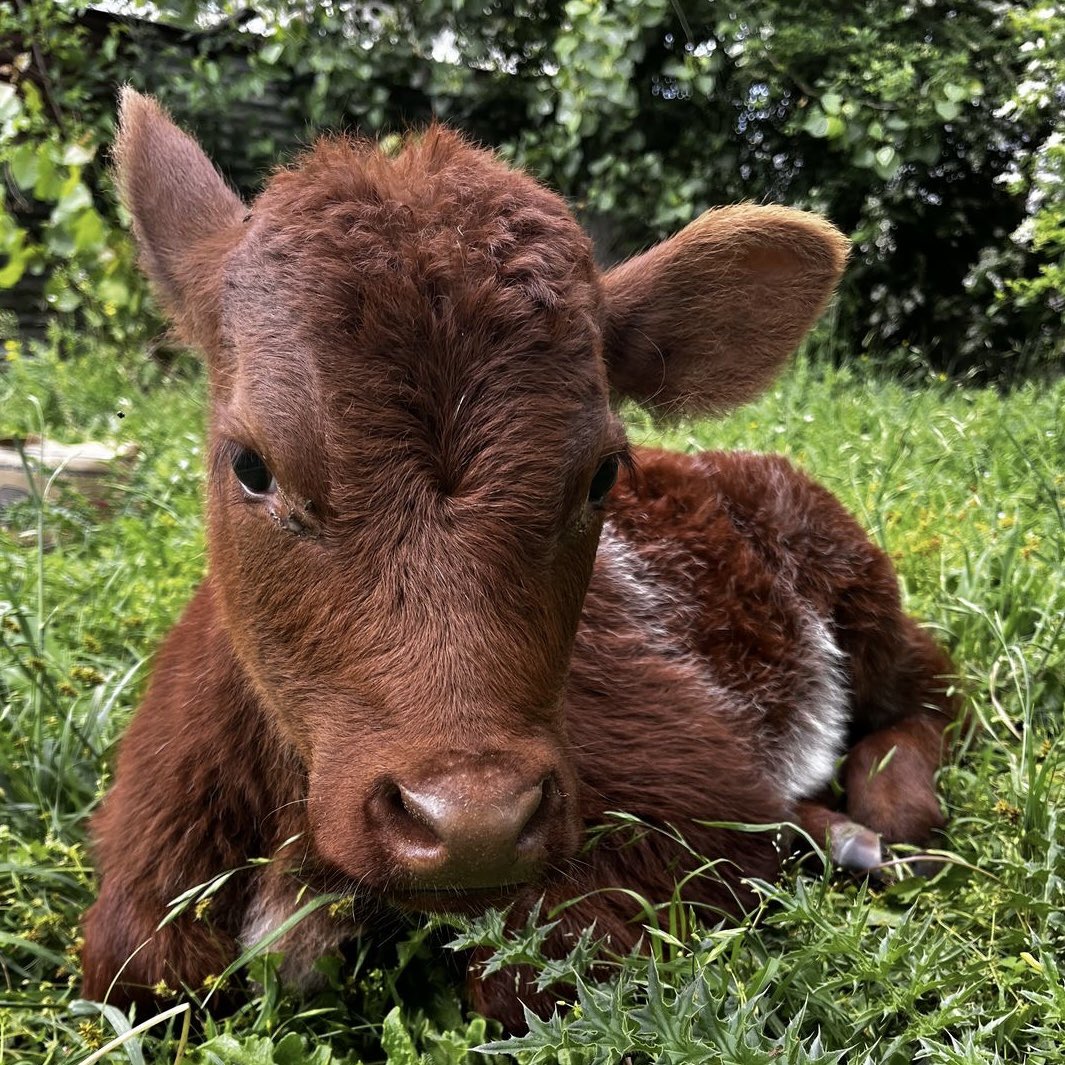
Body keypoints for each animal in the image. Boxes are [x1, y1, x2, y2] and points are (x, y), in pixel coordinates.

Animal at [81, 89, 958, 1028]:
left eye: (602, 473)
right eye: (251, 464)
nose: (474, 823)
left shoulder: (695, 788)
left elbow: (528, 973)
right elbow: (133, 960)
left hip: (860, 594)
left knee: (931, 697)